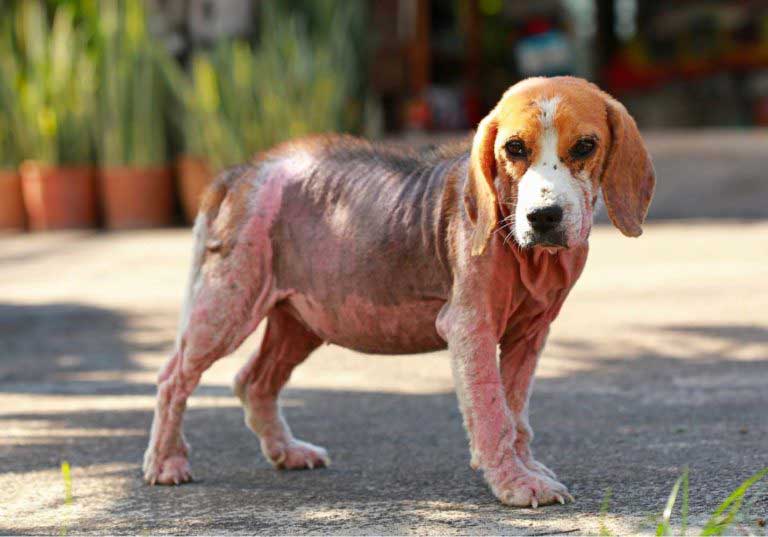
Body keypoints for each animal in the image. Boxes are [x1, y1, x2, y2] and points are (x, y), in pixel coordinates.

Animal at [142, 75, 656, 506]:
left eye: (585, 146)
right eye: (514, 148)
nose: (544, 218)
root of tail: (244, 171)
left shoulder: (529, 336)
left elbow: (516, 414)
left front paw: (525, 468)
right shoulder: (469, 328)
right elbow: (493, 412)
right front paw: (514, 483)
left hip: (301, 319)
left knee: (253, 381)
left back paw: (286, 451)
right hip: (229, 304)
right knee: (174, 378)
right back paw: (166, 462)